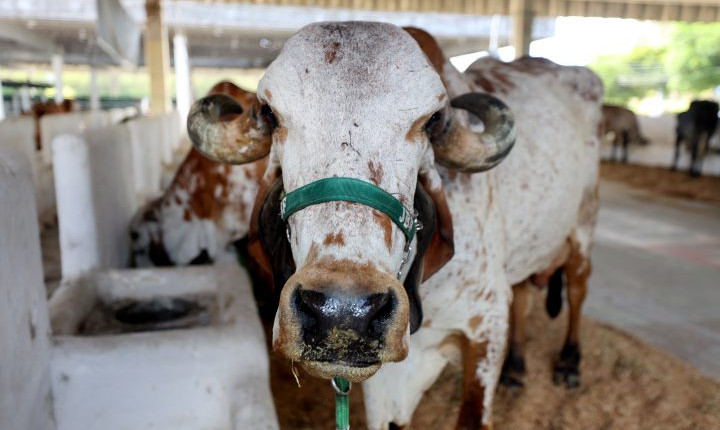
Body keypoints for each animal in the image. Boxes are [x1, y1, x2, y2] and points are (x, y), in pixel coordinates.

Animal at [186, 23, 600, 430]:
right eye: (270, 114)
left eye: (431, 120)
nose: (343, 312)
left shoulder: (487, 324)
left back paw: (570, 362)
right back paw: (516, 369)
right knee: (525, 293)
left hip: (583, 225)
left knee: (578, 288)